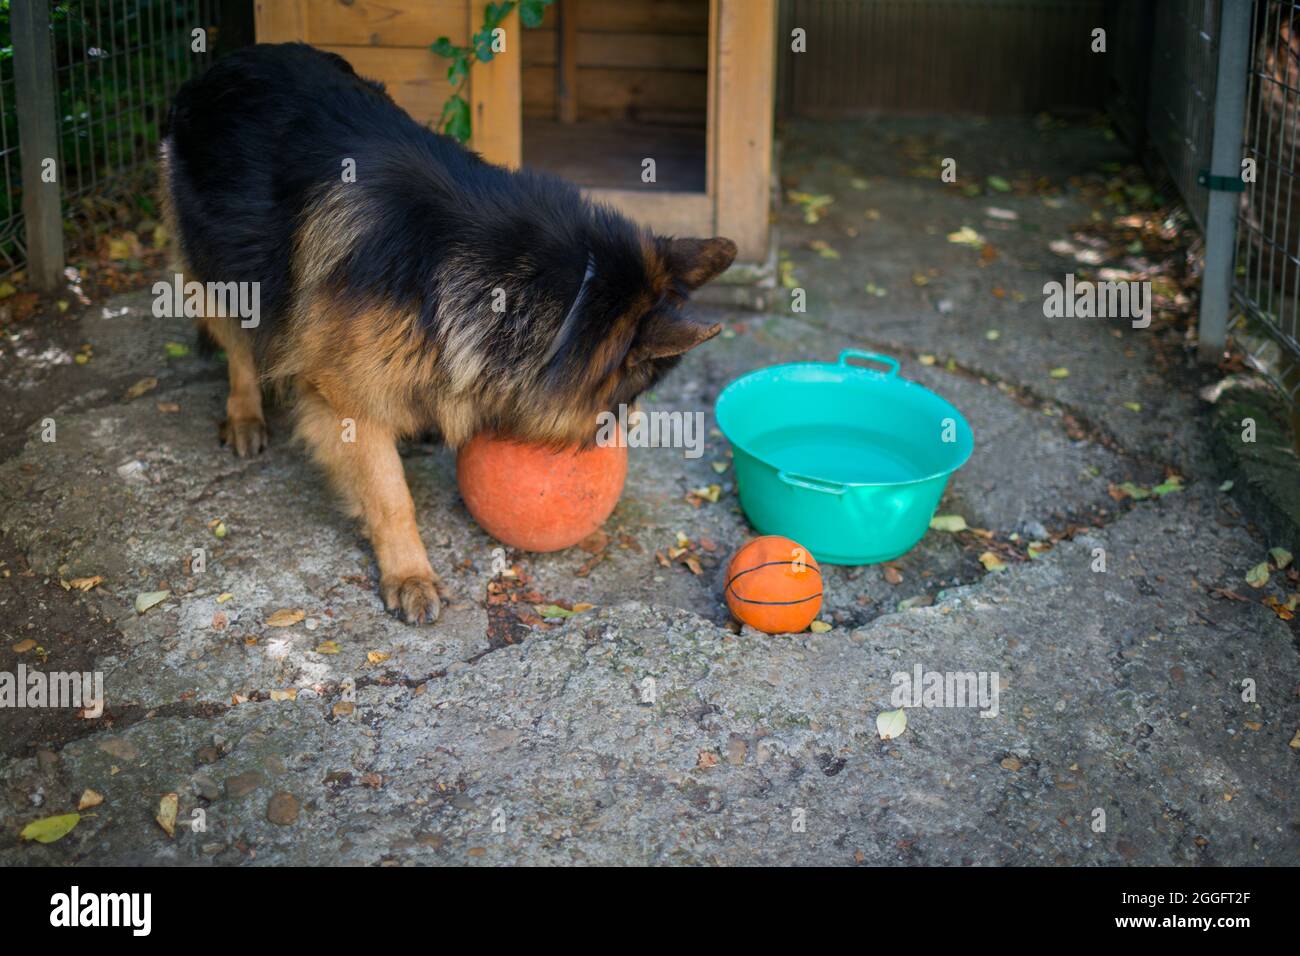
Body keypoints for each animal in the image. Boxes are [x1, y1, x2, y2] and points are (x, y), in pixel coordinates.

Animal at [157, 44, 738, 629]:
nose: (628, 430)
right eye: (637, 390)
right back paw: (244, 414)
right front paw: (409, 574)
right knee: (237, 345)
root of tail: (228, 62)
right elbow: (390, 497)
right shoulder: (345, 402)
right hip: (223, 268)